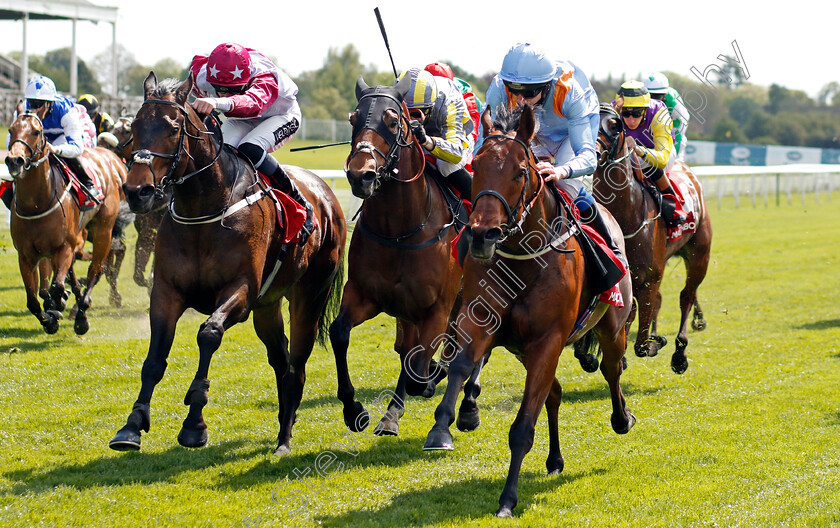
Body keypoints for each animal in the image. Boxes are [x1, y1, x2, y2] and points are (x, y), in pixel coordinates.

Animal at [3, 102, 128, 334]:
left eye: (36, 132)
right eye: (11, 129)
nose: (14, 160)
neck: (36, 204)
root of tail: (111, 159)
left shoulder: (65, 246)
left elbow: (58, 286)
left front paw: (61, 307)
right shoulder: (26, 255)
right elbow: (33, 301)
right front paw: (50, 319)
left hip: (103, 230)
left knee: (95, 270)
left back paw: (81, 314)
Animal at [110, 72, 346, 456]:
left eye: (173, 128)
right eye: (134, 126)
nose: (137, 191)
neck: (204, 209)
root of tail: (326, 195)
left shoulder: (241, 291)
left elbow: (208, 333)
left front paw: (194, 423)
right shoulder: (166, 292)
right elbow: (154, 359)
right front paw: (132, 425)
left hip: (310, 294)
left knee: (297, 364)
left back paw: (284, 439)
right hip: (268, 306)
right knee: (281, 359)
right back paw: (285, 420)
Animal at [328, 75, 476, 438]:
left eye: (394, 121)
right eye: (353, 119)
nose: (361, 174)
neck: (400, 230)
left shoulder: (436, 310)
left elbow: (420, 368)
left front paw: (432, 379)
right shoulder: (366, 296)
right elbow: (340, 333)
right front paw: (354, 410)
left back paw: (468, 406)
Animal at [424, 105, 632, 516]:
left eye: (520, 171)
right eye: (476, 166)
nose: (482, 234)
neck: (523, 260)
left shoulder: (548, 340)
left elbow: (522, 427)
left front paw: (508, 499)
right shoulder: (480, 320)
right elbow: (460, 365)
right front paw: (442, 429)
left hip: (611, 327)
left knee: (611, 368)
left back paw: (622, 418)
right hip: (522, 349)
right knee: (554, 392)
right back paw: (555, 459)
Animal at [592, 105, 712, 374]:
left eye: (614, 126)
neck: (625, 218)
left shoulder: (649, 278)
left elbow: (641, 346)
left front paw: (656, 341)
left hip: (699, 255)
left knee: (686, 296)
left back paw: (679, 351)